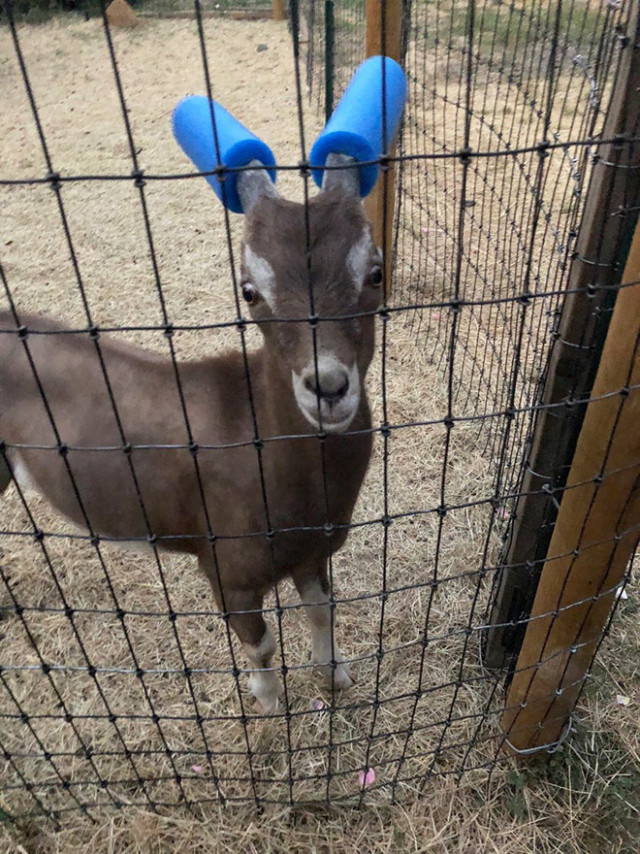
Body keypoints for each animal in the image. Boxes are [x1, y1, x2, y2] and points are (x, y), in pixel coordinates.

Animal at [0, 160, 382, 716]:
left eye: (375, 273)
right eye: (249, 290)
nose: (328, 387)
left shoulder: (312, 553)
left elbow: (322, 609)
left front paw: (335, 675)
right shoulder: (227, 570)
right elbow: (261, 643)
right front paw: (268, 704)